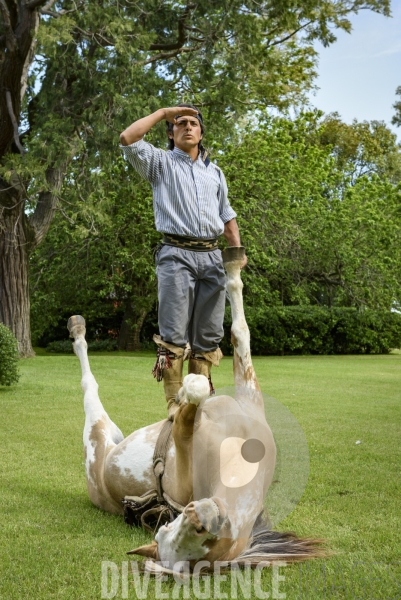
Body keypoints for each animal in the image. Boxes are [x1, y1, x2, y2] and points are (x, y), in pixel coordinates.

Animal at [69, 246, 318, 568]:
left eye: (200, 539)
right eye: (165, 529)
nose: (200, 515)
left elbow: (233, 340)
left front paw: (187, 392)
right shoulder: (249, 396)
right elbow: (239, 333)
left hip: (96, 434)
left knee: (89, 387)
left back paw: (77, 331)